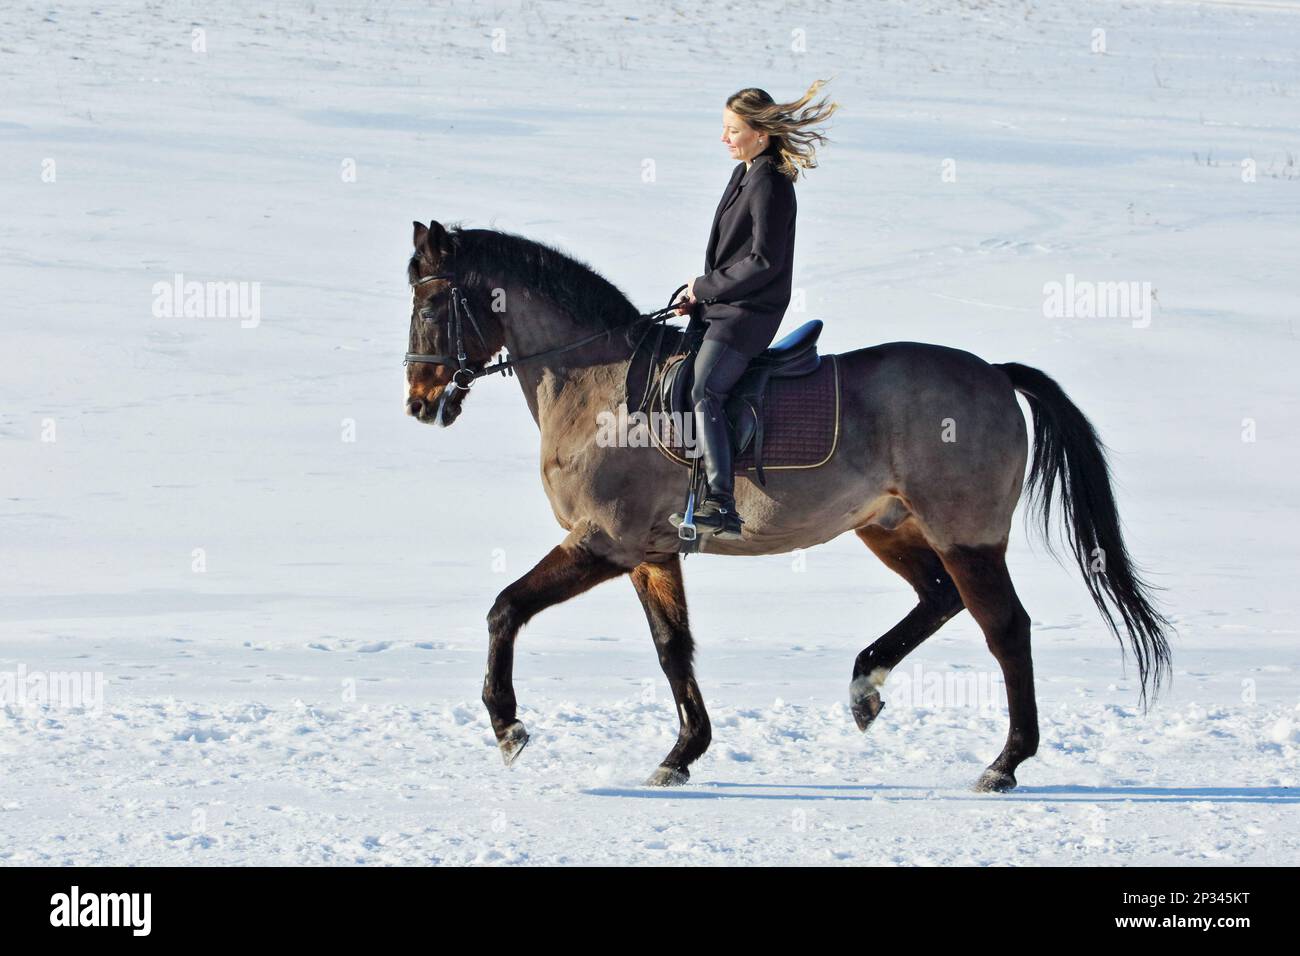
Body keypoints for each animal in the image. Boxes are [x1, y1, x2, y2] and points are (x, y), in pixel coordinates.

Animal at [400, 218, 1175, 790]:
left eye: (432, 305)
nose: (419, 402)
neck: (598, 384)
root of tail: (995, 373)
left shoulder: (605, 542)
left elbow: (505, 609)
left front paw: (508, 727)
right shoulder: (651, 553)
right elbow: (672, 648)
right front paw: (682, 754)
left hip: (966, 536)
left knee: (1005, 628)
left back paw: (1005, 762)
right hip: (890, 527)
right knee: (938, 598)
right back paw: (866, 686)